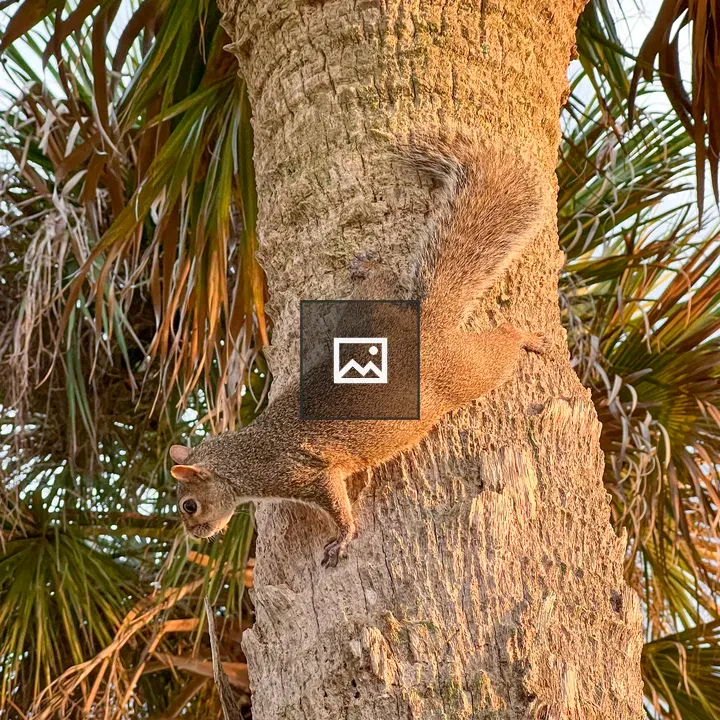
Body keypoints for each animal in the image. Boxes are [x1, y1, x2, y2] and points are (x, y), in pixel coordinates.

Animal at [169, 129, 551, 567]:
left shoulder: (307, 473)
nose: (194, 535)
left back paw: (524, 337)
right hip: (369, 310)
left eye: (190, 506)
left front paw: (343, 537)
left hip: (465, 370)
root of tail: (426, 319)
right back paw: (367, 268)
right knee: (380, 284)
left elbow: (337, 503)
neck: (246, 456)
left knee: (499, 345)